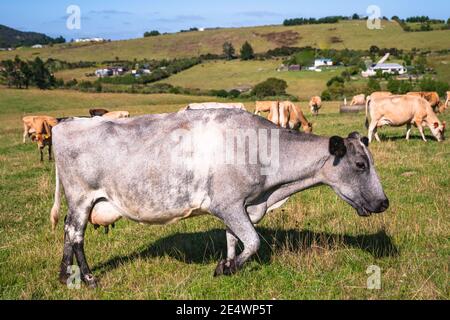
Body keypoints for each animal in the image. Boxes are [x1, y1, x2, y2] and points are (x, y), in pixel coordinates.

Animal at [48, 110, 386, 288]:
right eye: (361, 164)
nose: (384, 203)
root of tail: (65, 123)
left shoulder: (236, 206)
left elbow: (233, 239)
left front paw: (226, 263)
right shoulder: (227, 203)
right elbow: (253, 241)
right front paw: (227, 268)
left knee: (67, 231)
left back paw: (65, 275)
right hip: (81, 196)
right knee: (75, 234)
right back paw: (87, 277)